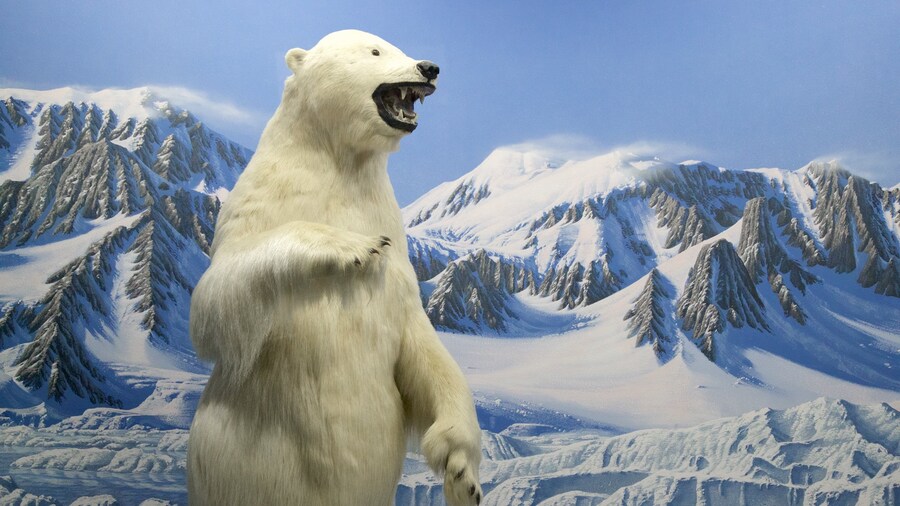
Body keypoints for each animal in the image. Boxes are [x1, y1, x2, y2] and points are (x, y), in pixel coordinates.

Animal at [186, 30, 483, 506]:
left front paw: (462, 473)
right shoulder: (259, 201)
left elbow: (425, 351)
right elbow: (214, 301)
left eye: (398, 47)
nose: (429, 67)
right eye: (377, 51)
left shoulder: (400, 272)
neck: (339, 161)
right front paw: (354, 245)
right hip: (232, 467)